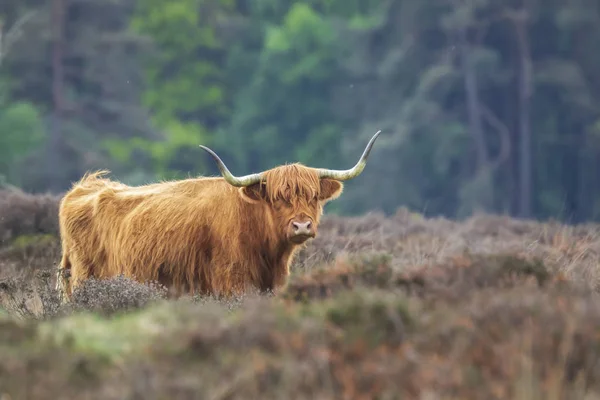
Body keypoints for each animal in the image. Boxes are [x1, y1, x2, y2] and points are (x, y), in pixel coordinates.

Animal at [57, 132, 384, 304]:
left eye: (314, 196)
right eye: (277, 198)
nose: (301, 225)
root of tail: (85, 188)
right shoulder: (231, 282)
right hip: (85, 280)